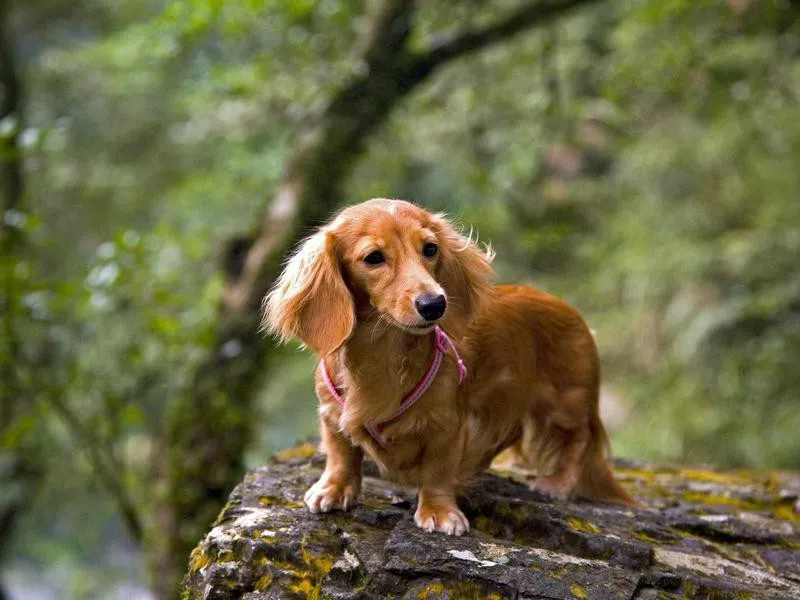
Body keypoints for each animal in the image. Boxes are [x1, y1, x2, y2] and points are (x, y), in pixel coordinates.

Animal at [266, 199, 636, 536]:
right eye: (373, 257)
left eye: (430, 249)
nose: (434, 304)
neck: (383, 352)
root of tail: (566, 307)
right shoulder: (332, 413)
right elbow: (341, 452)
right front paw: (334, 488)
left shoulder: (447, 426)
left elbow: (438, 470)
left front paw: (439, 511)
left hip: (566, 402)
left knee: (579, 438)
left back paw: (558, 482)